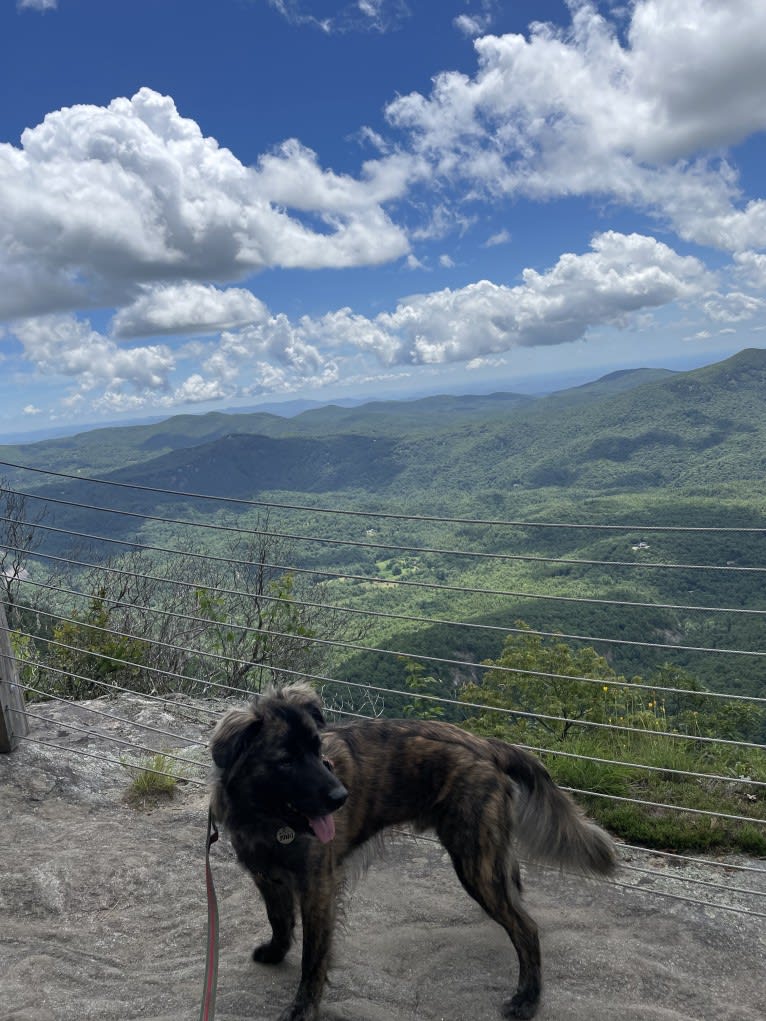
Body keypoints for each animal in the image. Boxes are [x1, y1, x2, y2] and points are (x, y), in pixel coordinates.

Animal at [210, 677, 616, 1021]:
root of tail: (486, 744)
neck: (267, 818)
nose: (342, 797)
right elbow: (278, 919)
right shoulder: (267, 877)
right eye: (285, 760)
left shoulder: (318, 888)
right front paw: (276, 952)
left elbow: (313, 958)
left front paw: (302, 1009)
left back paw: (527, 998)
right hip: (487, 854)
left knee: (527, 928)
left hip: (474, 862)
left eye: (317, 748)